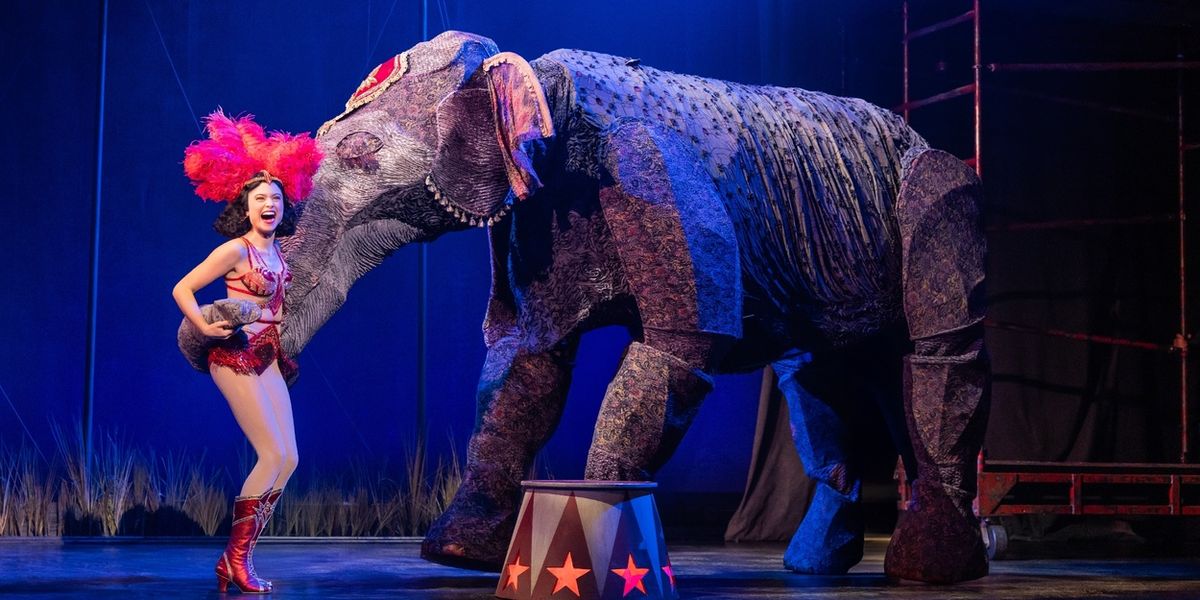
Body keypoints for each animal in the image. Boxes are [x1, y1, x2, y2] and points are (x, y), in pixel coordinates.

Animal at [202, 30, 989, 583]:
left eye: (361, 149)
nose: (273, 362)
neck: (538, 81)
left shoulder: (651, 165)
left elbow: (678, 348)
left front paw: (597, 539)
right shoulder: (534, 217)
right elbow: (524, 360)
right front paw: (457, 554)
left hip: (937, 195)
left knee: (938, 351)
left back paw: (931, 567)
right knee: (821, 381)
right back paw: (820, 562)